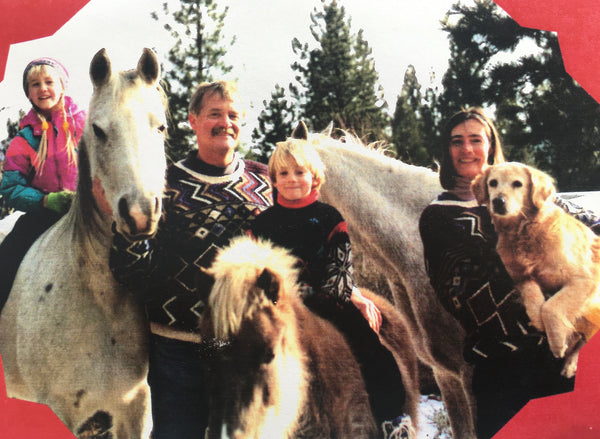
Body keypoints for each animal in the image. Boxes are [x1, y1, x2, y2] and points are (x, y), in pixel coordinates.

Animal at [474, 162, 600, 378]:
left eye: (517, 183)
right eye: (493, 183)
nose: (498, 201)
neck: (524, 231)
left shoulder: (584, 279)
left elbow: (551, 306)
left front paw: (557, 341)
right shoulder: (520, 277)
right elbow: (533, 298)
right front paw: (540, 322)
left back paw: (570, 363)